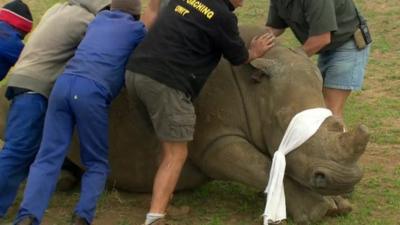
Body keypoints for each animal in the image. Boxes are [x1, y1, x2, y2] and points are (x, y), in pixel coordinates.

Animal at [0, 25, 368, 223]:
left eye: (333, 121)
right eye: (282, 124)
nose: (344, 179)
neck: (256, 85)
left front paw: (339, 203)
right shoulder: (215, 141)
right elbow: (259, 167)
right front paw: (317, 211)